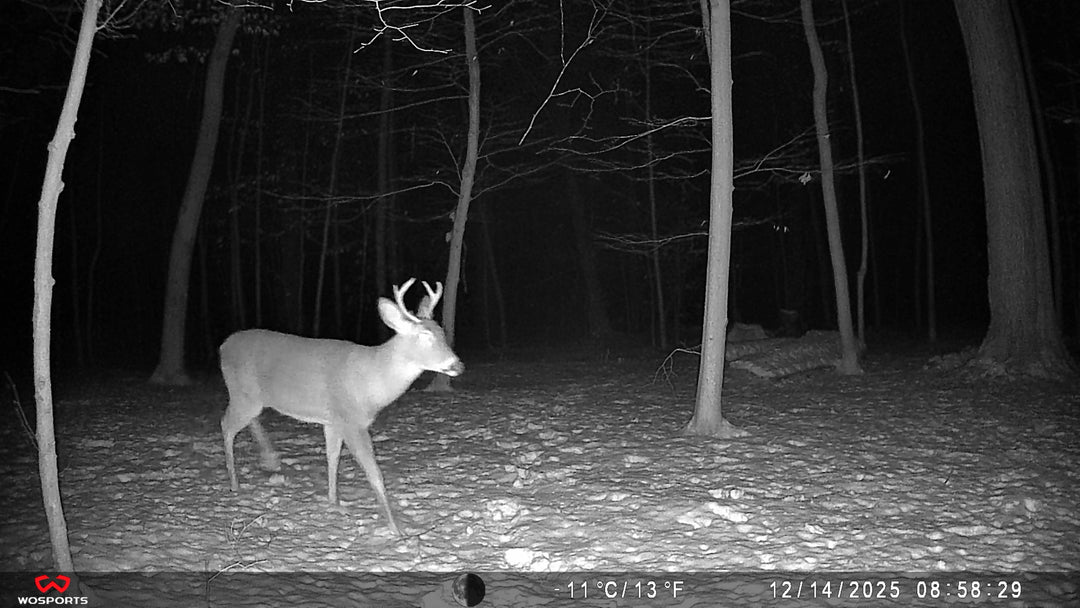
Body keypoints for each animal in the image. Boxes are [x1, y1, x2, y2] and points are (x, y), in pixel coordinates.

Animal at [219, 278, 464, 536]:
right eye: (425, 335)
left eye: (443, 333)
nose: (458, 365)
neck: (372, 381)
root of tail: (223, 346)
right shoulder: (351, 420)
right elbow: (374, 473)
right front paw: (395, 527)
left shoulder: (333, 421)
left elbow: (333, 458)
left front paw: (334, 503)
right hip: (244, 394)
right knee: (226, 425)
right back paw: (235, 484)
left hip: (250, 398)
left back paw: (269, 458)